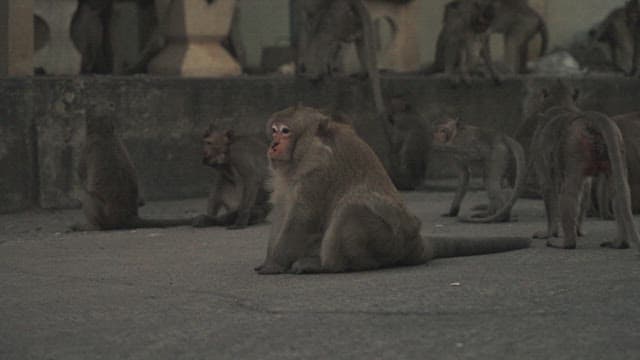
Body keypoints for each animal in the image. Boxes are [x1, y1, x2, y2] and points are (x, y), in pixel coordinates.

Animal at [71, 100, 192, 232]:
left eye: (93, 105)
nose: (87, 106)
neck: (104, 132)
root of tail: (129, 217)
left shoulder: (86, 149)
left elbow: (82, 176)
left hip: (101, 211)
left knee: (88, 198)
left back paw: (86, 226)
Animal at [252, 105, 528, 274]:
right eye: (274, 130)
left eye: (285, 131)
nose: (273, 145)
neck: (307, 149)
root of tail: (415, 243)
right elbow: (284, 210)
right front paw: (269, 259)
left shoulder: (318, 168)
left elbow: (303, 217)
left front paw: (274, 264)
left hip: (388, 242)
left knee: (351, 209)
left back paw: (329, 265)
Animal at [528, 83, 640, 250]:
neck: (561, 106)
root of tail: (589, 118)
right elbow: (587, 188)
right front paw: (579, 230)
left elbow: (548, 188)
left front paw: (549, 233)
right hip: (616, 142)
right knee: (619, 190)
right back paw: (620, 243)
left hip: (574, 143)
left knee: (569, 191)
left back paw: (566, 243)